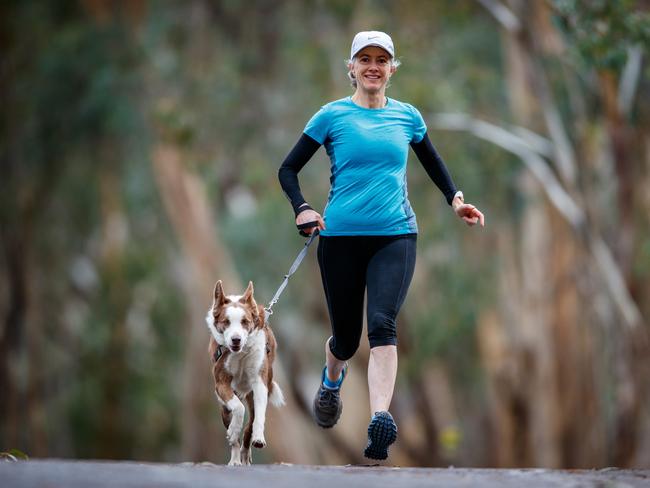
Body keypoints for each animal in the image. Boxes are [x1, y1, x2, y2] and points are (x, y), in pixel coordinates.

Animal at [204, 278, 282, 466]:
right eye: (226, 322)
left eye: (245, 322)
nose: (236, 339)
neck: (241, 352)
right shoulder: (221, 383)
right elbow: (238, 409)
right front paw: (233, 432)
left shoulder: (260, 383)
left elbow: (259, 416)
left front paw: (259, 438)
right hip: (224, 407)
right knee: (234, 429)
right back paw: (235, 458)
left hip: (252, 394)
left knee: (249, 427)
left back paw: (246, 455)